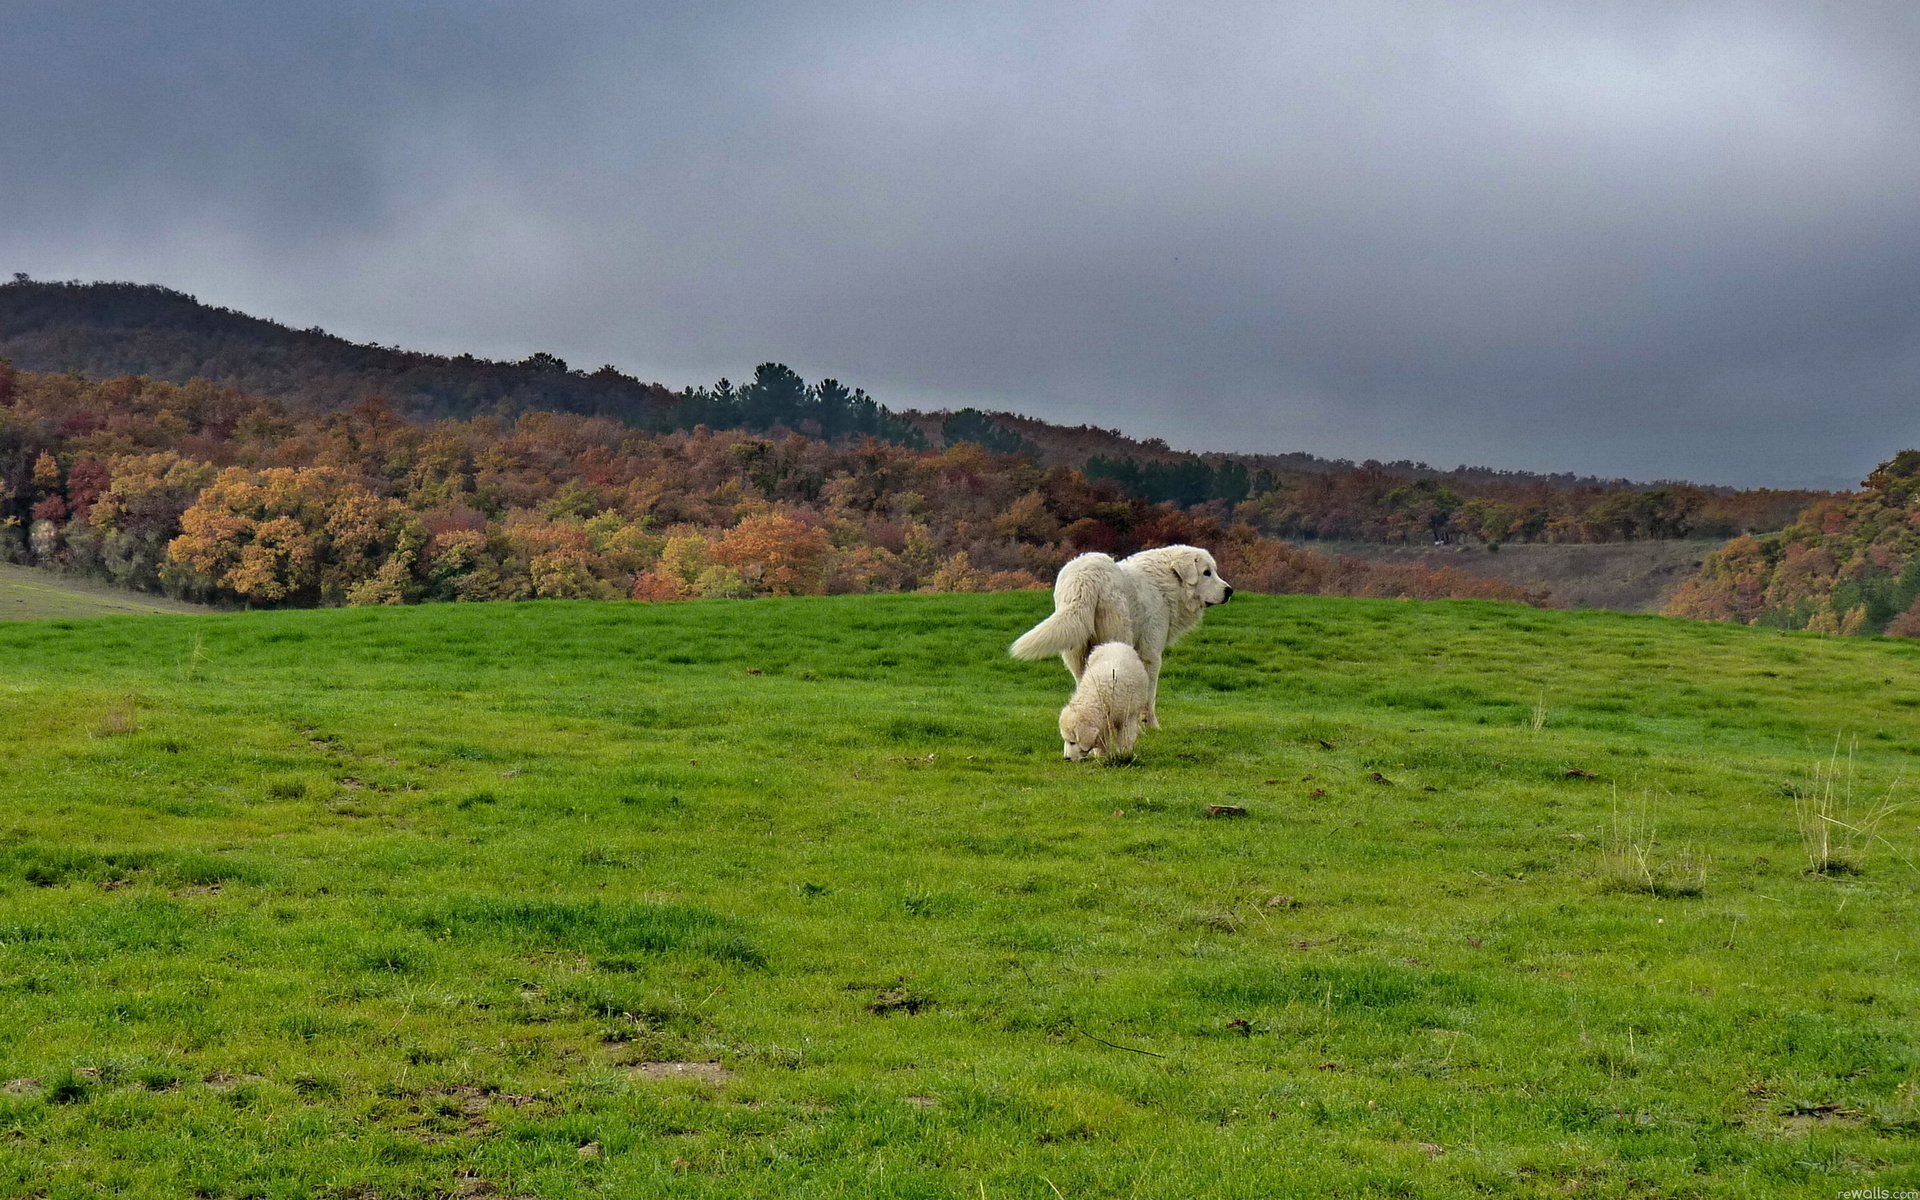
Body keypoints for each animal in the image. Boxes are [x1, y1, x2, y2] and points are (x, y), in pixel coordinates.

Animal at [1013, 549, 1236, 725]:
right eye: (1207, 573)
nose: (1230, 591)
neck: (1166, 585)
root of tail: (1085, 579)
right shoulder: (1151, 653)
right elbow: (1150, 693)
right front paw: (1151, 724)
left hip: (1075, 649)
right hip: (1117, 636)